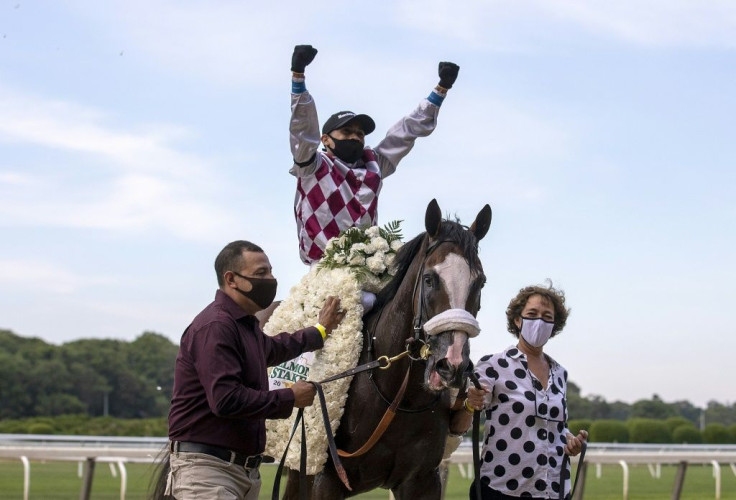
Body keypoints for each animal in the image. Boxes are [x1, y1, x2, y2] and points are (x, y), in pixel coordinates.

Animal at [284, 197, 492, 498]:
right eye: (429, 279)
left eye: (480, 281)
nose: (451, 366)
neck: (399, 397)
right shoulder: (325, 479)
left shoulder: (422, 480)